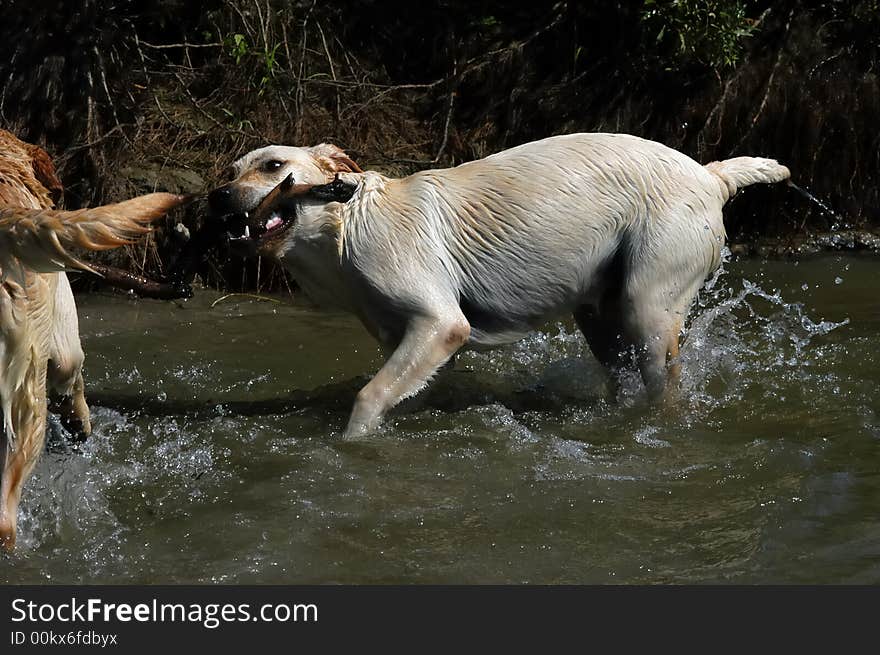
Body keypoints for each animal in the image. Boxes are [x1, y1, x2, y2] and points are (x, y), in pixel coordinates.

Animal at [210, 133, 788, 438]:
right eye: (232, 170)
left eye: (274, 167)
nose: (216, 197)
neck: (348, 221)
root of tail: (710, 174)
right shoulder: (408, 340)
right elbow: (403, 388)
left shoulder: (441, 324)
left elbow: (369, 396)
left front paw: (350, 442)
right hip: (600, 316)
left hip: (649, 306)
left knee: (663, 382)